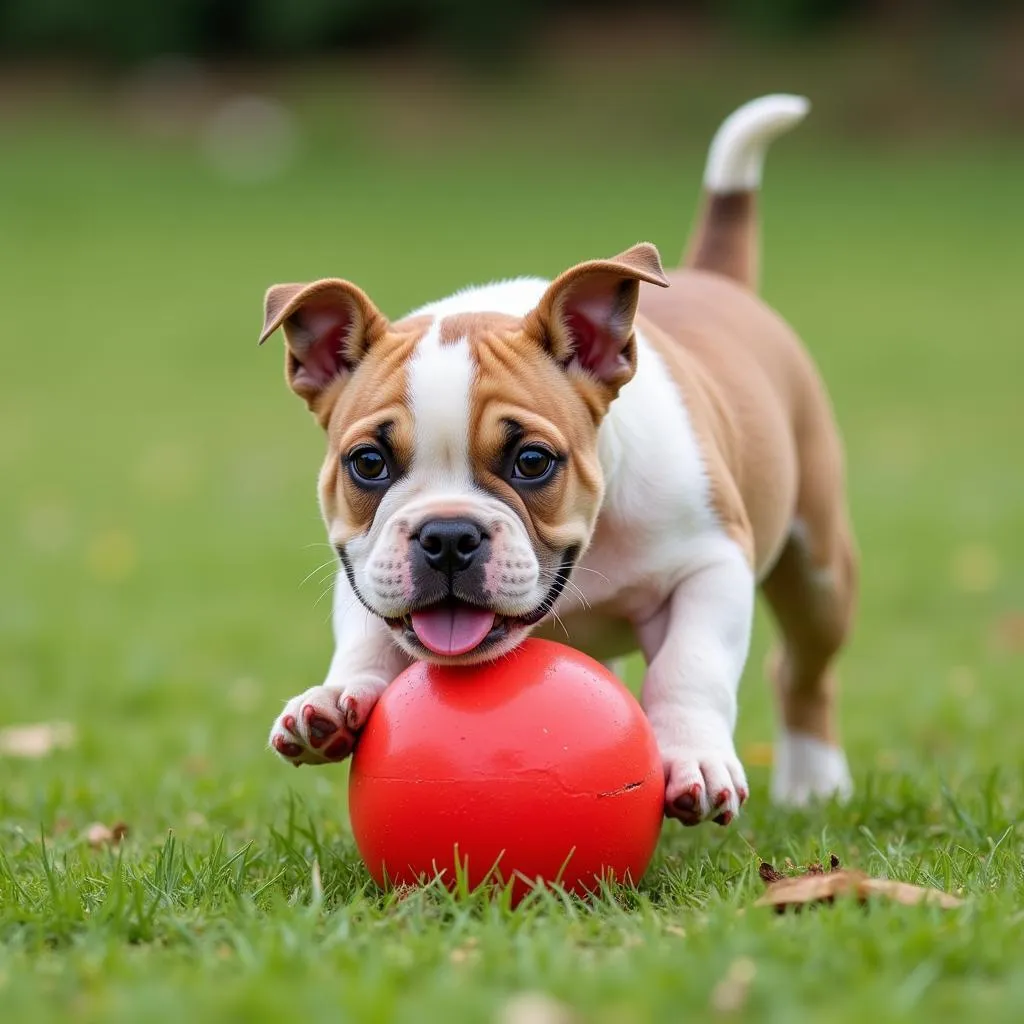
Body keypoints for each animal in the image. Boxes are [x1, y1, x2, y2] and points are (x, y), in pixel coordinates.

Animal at [262, 96, 856, 823]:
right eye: (368, 464)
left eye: (533, 461)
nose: (447, 535)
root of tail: (716, 279)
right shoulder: (366, 562)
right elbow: (368, 632)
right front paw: (333, 700)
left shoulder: (714, 561)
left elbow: (692, 664)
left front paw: (694, 756)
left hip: (818, 570)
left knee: (803, 668)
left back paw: (815, 783)